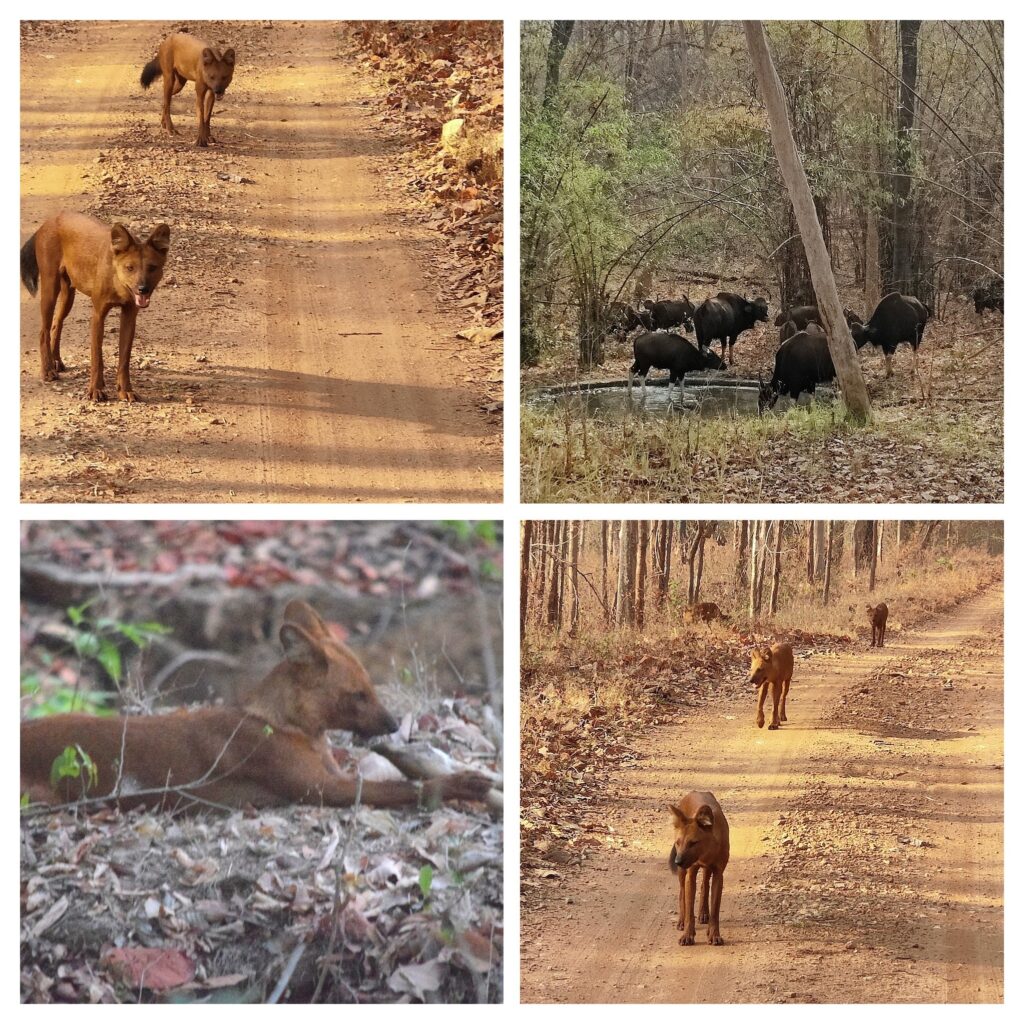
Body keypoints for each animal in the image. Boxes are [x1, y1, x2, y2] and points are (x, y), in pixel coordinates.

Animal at [18, 598, 491, 811]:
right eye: (358, 693)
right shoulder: (320, 788)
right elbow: (402, 788)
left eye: (370, 687)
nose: (394, 724)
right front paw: (462, 782)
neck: (288, 726)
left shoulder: (334, 772)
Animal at [667, 790, 733, 942]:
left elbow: (715, 910)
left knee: (704, 885)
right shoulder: (690, 873)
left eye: (693, 843)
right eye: (678, 842)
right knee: (682, 893)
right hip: (683, 872)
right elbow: (689, 910)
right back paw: (681, 921)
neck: (706, 853)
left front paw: (714, 935)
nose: (677, 861)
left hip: (706, 869)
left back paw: (703, 914)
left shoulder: (718, 873)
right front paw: (687, 935)